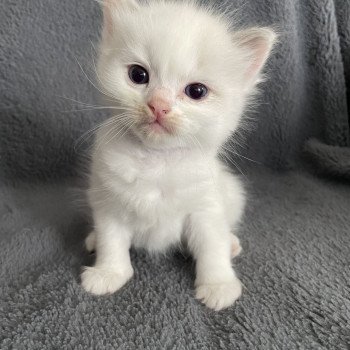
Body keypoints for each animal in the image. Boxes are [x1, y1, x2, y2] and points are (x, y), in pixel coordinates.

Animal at [80, 0, 274, 312]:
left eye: (196, 91)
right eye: (138, 75)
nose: (158, 105)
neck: (156, 161)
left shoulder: (206, 209)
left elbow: (212, 248)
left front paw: (218, 286)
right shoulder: (109, 203)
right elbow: (112, 242)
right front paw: (108, 274)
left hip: (232, 194)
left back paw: (231, 243)